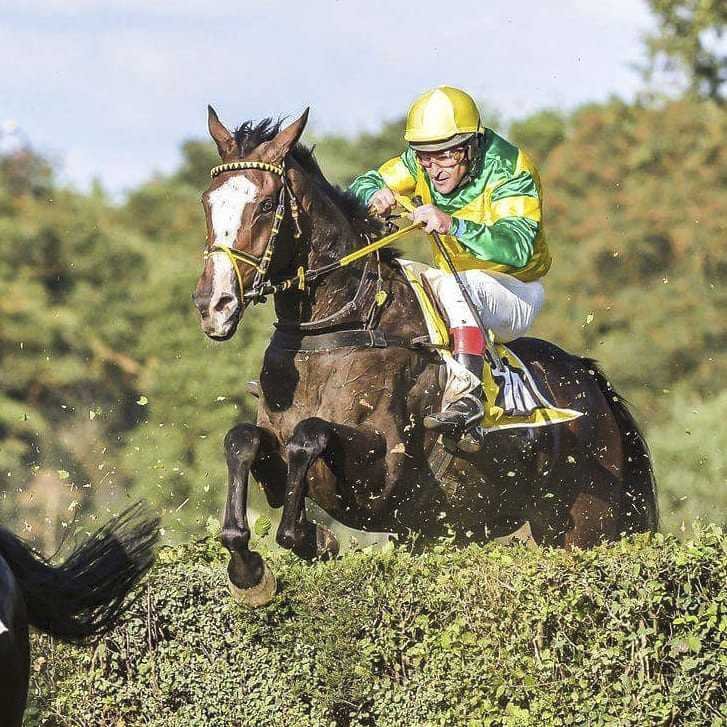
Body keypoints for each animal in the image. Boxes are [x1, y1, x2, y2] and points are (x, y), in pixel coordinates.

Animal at [193, 106, 660, 608]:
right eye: (207, 202)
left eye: (264, 205)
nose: (213, 304)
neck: (341, 326)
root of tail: (591, 383)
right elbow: (241, 440)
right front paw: (248, 568)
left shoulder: (383, 473)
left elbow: (310, 436)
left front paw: (312, 538)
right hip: (446, 529)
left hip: (584, 526)